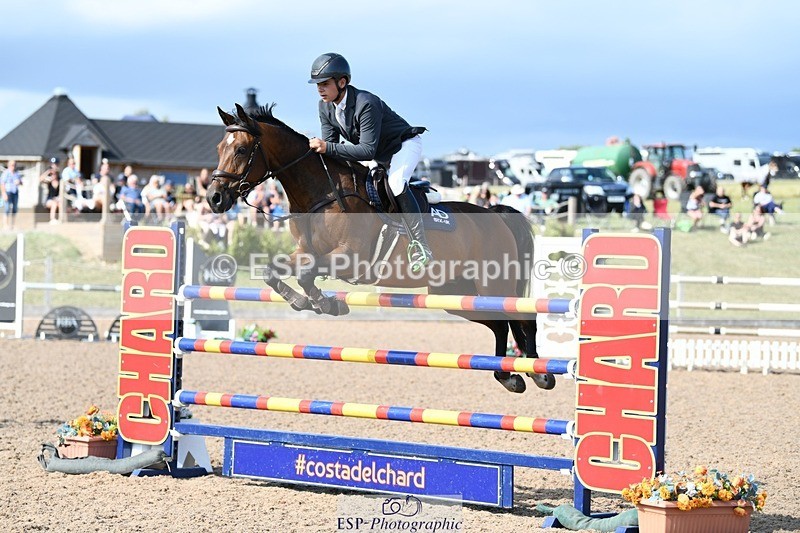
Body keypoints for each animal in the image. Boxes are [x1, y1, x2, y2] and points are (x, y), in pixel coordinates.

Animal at [206, 103, 554, 393]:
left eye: (241, 149)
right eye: (219, 148)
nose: (214, 198)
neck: (322, 195)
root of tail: (496, 213)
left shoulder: (349, 259)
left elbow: (306, 275)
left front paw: (326, 303)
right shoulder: (305, 252)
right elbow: (273, 271)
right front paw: (307, 302)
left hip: (495, 284)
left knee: (523, 318)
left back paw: (539, 374)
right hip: (454, 294)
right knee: (499, 324)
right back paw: (509, 375)